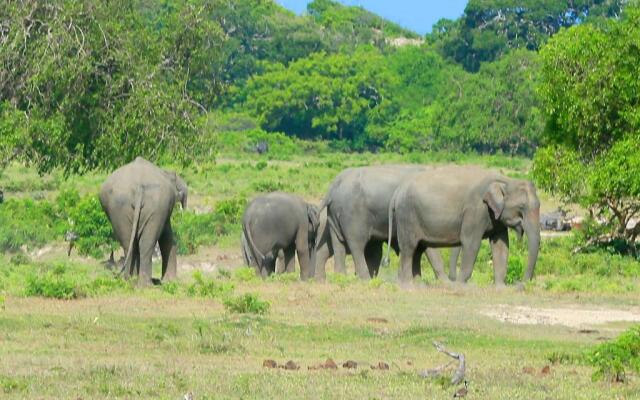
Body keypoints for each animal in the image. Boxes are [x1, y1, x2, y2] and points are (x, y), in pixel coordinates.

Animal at [99, 156, 186, 284]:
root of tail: (139, 187)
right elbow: (168, 237)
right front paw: (170, 282)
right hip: (155, 206)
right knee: (146, 243)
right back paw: (145, 284)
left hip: (120, 208)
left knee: (129, 242)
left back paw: (131, 281)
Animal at [384, 165, 540, 284]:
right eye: (521, 208)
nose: (520, 284)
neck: (505, 180)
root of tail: (397, 192)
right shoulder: (475, 210)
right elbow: (471, 242)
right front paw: (461, 285)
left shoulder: (496, 217)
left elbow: (501, 245)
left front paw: (500, 288)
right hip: (407, 216)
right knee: (409, 248)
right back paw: (408, 285)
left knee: (417, 249)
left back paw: (414, 284)